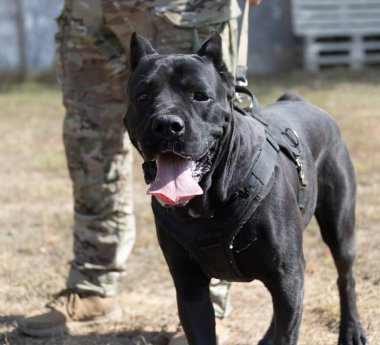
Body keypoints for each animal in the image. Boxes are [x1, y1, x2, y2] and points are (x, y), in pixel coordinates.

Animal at [123, 33, 366, 344]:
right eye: (142, 97)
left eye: (200, 96)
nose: (166, 124)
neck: (208, 203)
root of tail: (300, 100)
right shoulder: (190, 288)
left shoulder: (287, 275)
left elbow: (289, 331)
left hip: (339, 226)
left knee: (345, 276)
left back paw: (352, 329)